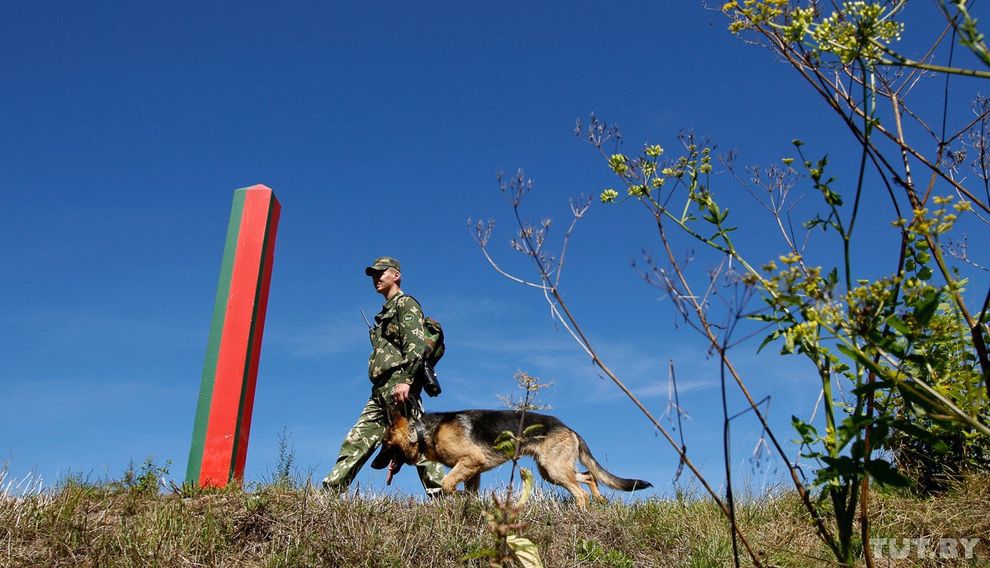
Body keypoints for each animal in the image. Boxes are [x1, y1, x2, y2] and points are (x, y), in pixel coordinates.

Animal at [380, 410, 652, 508]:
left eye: (384, 445)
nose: (374, 463)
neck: (422, 432)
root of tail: (570, 428)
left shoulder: (470, 461)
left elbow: (447, 485)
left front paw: (457, 497)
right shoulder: (474, 471)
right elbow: (467, 492)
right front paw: (469, 504)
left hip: (554, 470)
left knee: (580, 492)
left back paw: (582, 512)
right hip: (551, 471)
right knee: (588, 476)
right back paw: (600, 500)